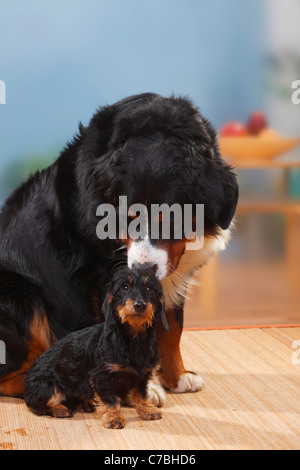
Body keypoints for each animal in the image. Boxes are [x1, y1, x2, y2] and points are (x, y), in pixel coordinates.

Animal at [0, 93, 239, 406]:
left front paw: (176, 378)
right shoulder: (99, 276)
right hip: (20, 296)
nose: (142, 269)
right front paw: (141, 386)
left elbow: (172, 329)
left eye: (172, 219)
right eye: (129, 217)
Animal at [23, 264, 169, 430]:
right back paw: (59, 409)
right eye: (124, 287)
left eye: (149, 289)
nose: (139, 305)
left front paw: (147, 410)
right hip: (47, 386)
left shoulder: (142, 376)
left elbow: (141, 394)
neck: (134, 340)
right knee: (38, 406)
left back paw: (83, 403)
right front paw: (113, 418)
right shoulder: (101, 377)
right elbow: (110, 399)